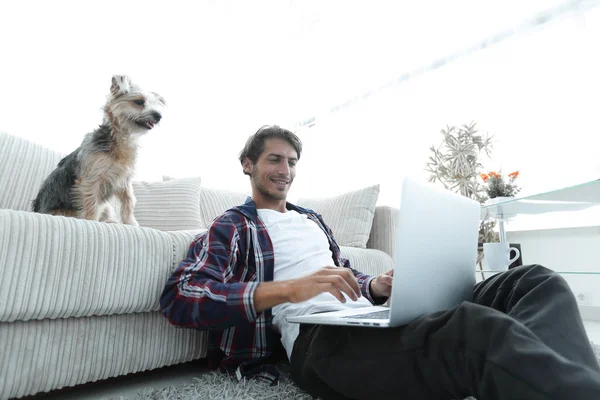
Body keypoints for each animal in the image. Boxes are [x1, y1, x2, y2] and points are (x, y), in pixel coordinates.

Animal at [31, 75, 165, 225]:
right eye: (139, 102)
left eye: (155, 105)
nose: (158, 115)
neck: (119, 139)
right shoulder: (92, 180)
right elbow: (91, 203)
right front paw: (91, 221)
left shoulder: (124, 181)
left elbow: (129, 201)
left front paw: (131, 223)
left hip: (107, 208)